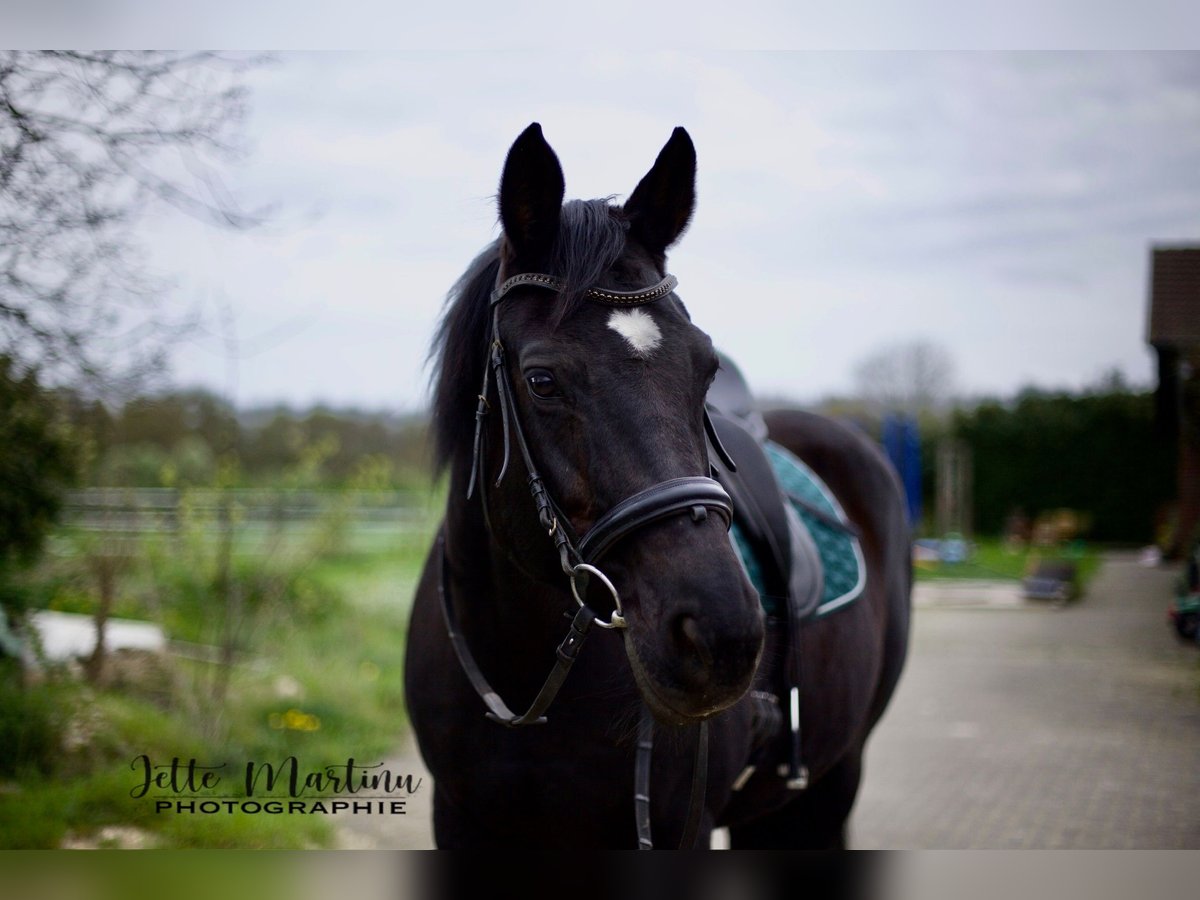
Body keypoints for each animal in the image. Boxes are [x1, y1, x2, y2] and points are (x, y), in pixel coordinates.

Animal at [403, 123, 907, 849]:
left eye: (707, 368)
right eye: (541, 381)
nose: (722, 635)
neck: (528, 685)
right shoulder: (461, 822)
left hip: (833, 780)